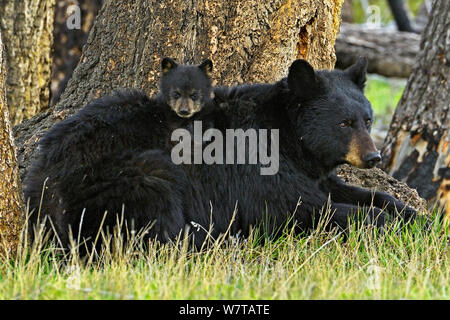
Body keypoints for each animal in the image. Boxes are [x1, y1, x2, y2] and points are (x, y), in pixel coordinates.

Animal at [24, 57, 416, 249]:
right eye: (344, 123)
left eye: (367, 119)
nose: (373, 158)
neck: (287, 136)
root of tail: (40, 178)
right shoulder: (258, 171)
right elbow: (297, 209)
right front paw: (386, 223)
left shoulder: (307, 169)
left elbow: (349, 191)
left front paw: (414, 214)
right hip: (128, 172)